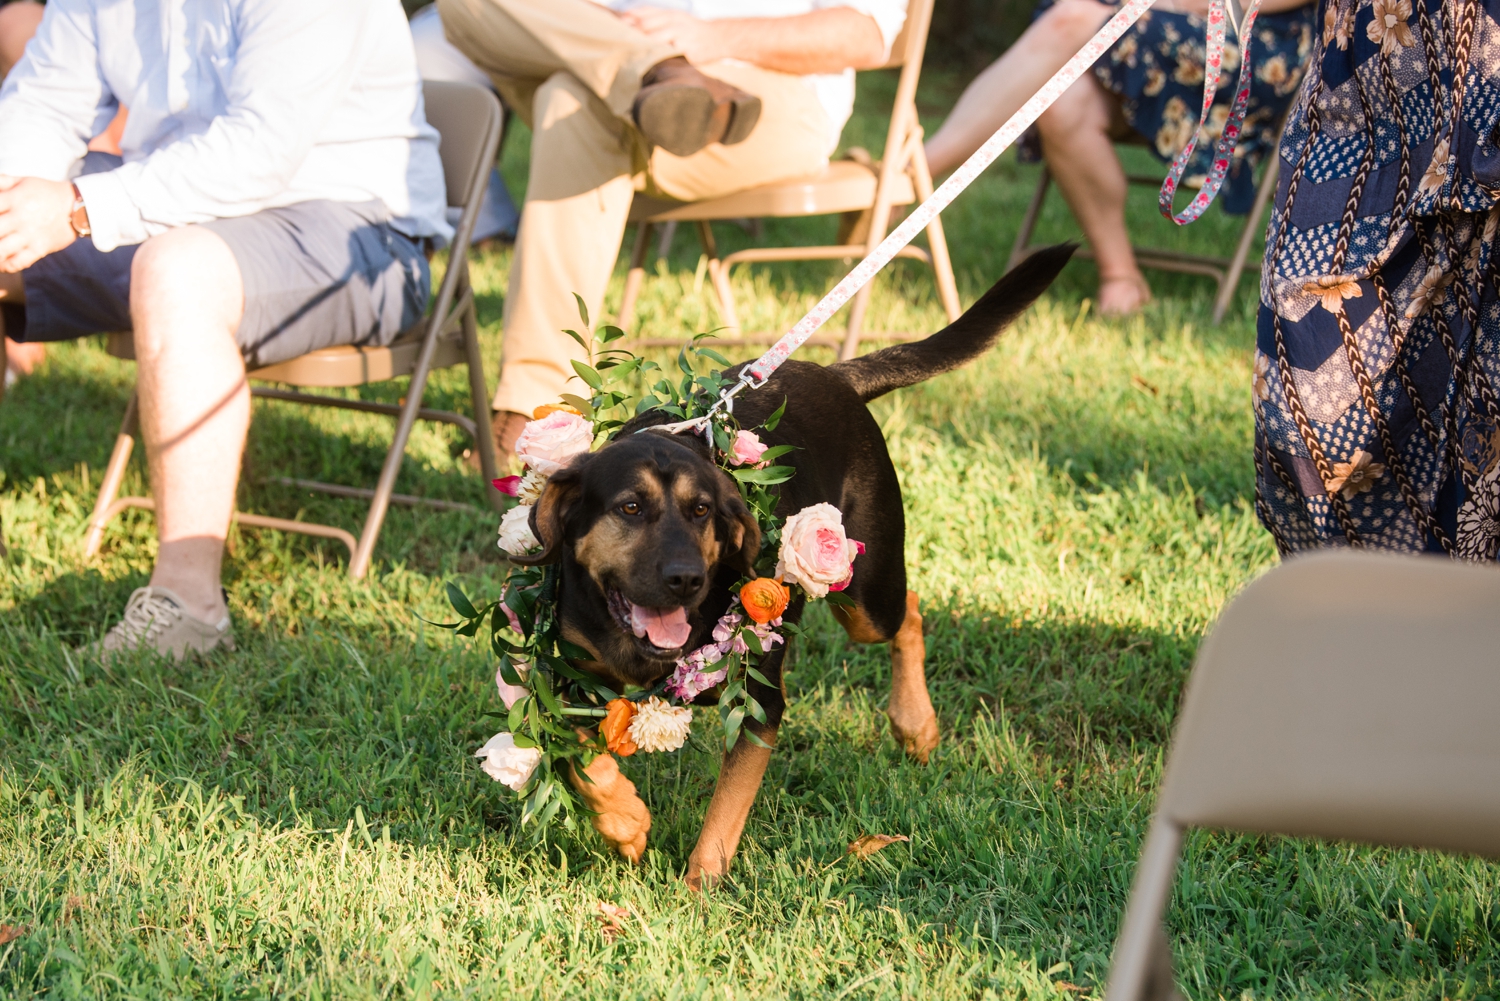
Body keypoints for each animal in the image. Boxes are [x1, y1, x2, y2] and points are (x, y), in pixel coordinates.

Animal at [519, 244, 1080, 882]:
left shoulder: (760, 705)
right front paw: (626, 823)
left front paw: (697, 887)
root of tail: (834, 374)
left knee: (907, 610)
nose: (686, 580)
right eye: (630, 507)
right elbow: (574, 758)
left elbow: (724, 813)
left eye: (702, 510)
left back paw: (915, 723)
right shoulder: (558, 675)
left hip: (864, 592)